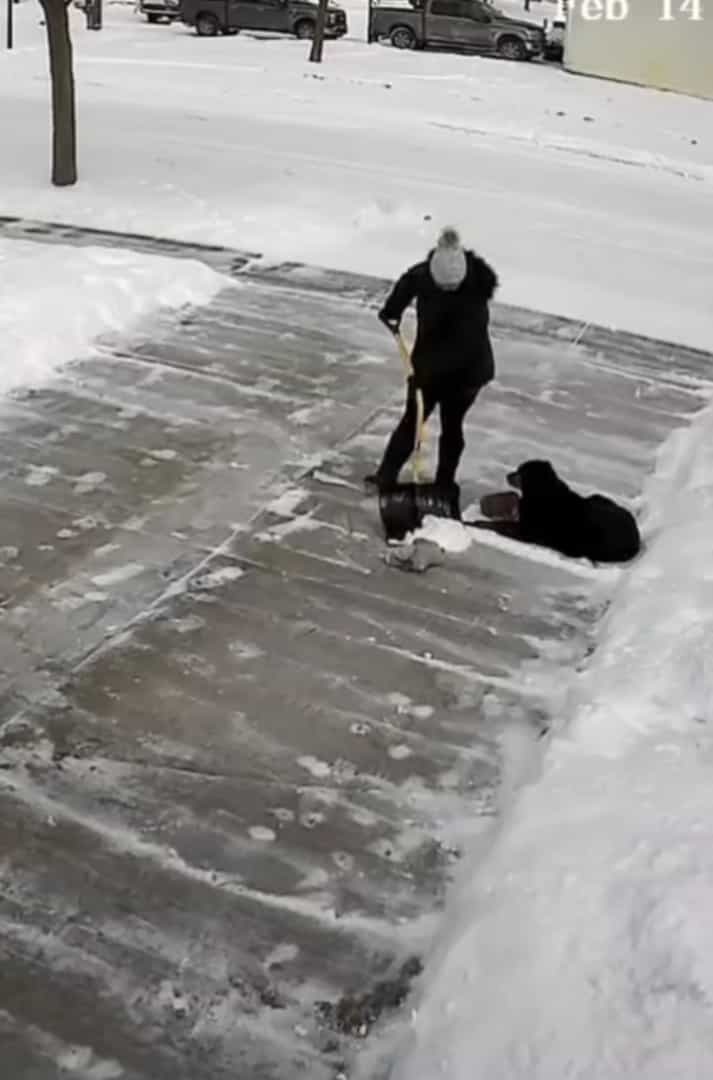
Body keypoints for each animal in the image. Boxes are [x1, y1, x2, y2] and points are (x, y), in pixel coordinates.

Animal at [481, 460, 639, 565]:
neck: (544, 493)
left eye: (521, 471)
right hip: (598, 497)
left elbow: (500, 525)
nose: (507, 475)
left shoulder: (527, 532)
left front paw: (479, 523)